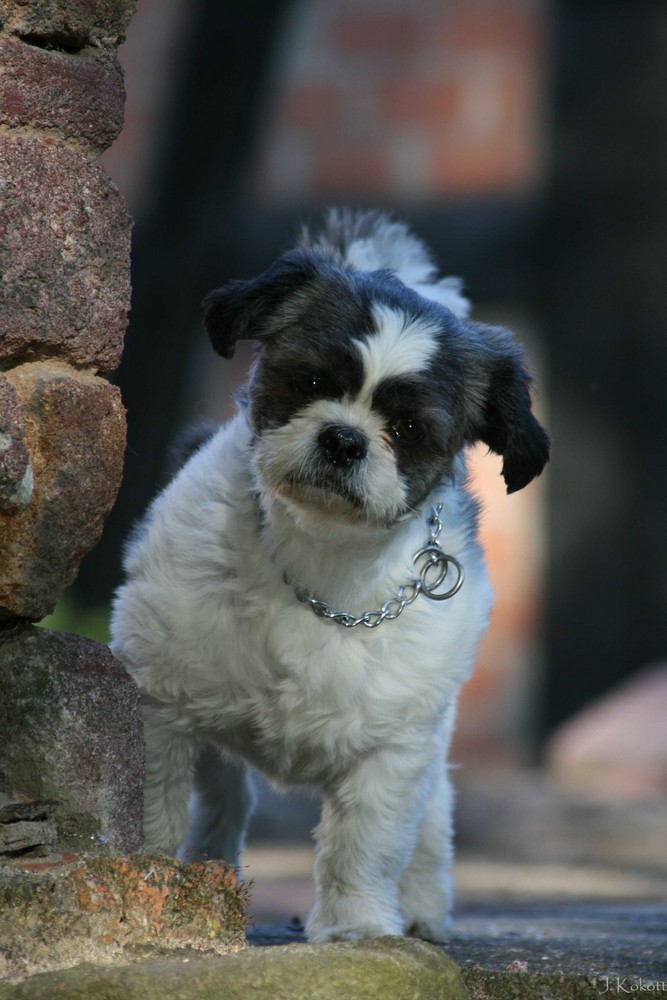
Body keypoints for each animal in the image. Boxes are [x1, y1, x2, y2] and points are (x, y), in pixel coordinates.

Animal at [112, 207, 552, 940]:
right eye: (313, 383)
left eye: (409, 428)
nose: (344, 438)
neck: (323, 571)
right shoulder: (163, 706)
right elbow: (150, 811)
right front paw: (156, 891)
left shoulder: (393, 749)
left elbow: (364, 845)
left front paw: (357, 926)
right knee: (224, 802)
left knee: (432, 820)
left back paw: (422, 906)